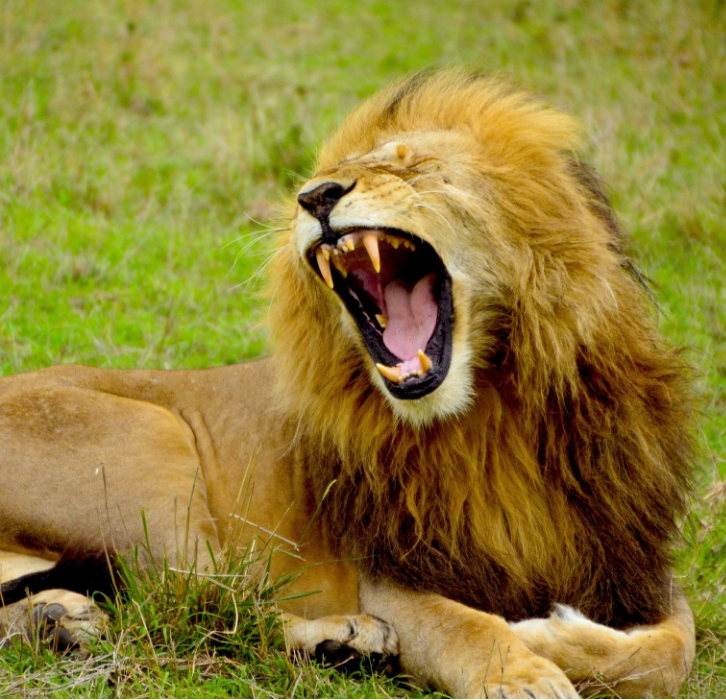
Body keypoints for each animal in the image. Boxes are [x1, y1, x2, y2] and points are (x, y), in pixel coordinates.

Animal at [0, 71, 696, 698]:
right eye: (322, 176)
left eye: (413, 167)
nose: (314, 196)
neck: (495, 414)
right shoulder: (391, 575)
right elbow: (467, 628)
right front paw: (523, 669)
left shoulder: (633, 558)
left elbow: (670, 653)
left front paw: (553, 637)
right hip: (153, 441)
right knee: (200, 600)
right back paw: (341, 638)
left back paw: (57, 620)